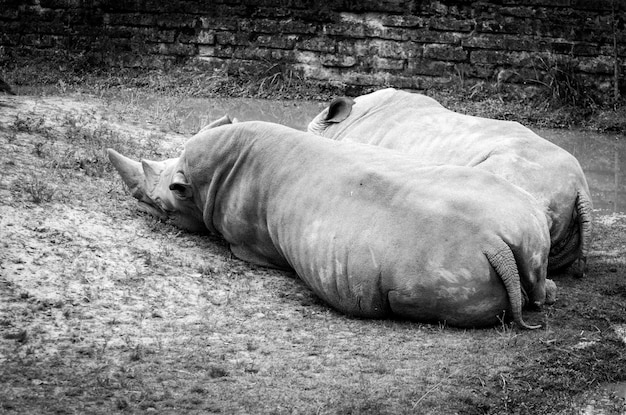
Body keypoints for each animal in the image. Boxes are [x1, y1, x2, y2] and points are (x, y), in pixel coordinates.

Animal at [106, 122, 552, 330]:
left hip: (436, 267)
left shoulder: (245, 243)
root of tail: (493, 244)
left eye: (160, 207)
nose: (138, 206)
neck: (203, 182)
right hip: (524, 219)